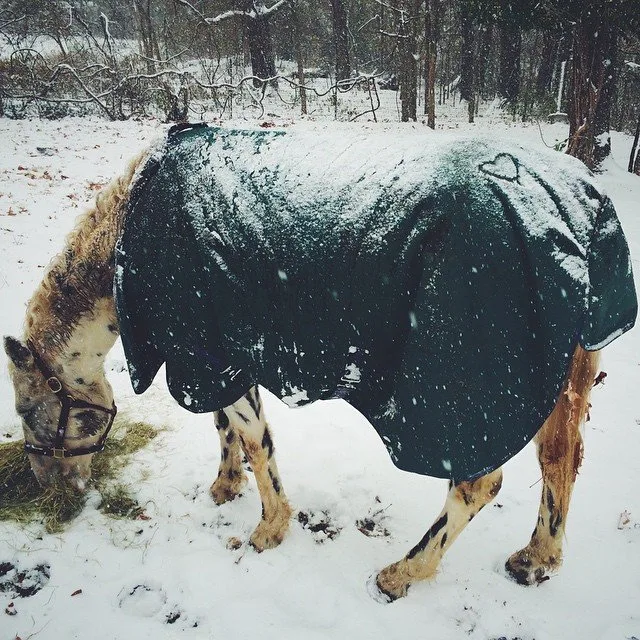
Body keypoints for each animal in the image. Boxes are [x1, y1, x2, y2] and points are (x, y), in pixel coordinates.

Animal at [3, 124, 636, 600]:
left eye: (31, 411)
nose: (53, 492)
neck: (127, 232)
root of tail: (581, 203)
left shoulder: (211, 351)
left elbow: (255, 441)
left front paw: (268, 529)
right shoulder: (220, 355)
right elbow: (225, 427)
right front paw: (225, 486)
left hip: (464, 394)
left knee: (478, 484)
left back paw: (402, 573)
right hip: (565, 374)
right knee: (560, 459)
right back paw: (536, 559)